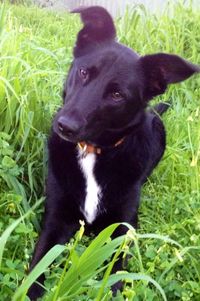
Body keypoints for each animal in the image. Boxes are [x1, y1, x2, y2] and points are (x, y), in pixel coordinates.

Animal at [28, 5, 200, 298]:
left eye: (117, 95)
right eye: (84, 72)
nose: (65, 126)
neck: (92, 151)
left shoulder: (122, 228)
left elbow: (116, 273)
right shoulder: (55, 219)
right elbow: (36, 269)